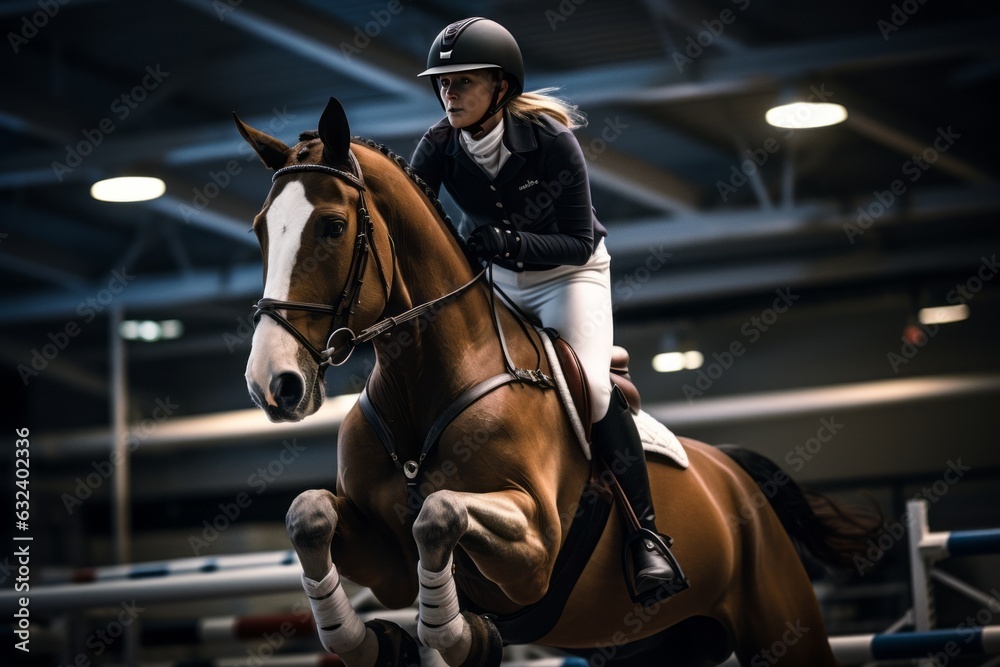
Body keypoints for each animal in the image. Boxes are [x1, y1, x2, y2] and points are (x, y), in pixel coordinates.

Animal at [236, 97, 881, 667]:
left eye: (332, 226)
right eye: (261, 229)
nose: (273, 384)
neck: (425, 383)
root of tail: (734, 472)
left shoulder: (536, 549)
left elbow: (438, 512)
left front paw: (462, 637)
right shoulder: (388, 561)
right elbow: (309, 514)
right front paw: (368, 642)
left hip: (782, 625)